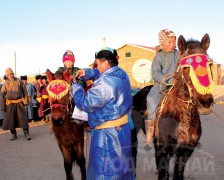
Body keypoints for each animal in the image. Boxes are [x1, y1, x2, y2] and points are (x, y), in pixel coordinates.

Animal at [154, 33, 214, 179]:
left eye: (210, 64)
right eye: (186, 67)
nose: (205, 102)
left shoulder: (185, 151)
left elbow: (178, 174)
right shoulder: (165, 149)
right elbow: (164, 174)